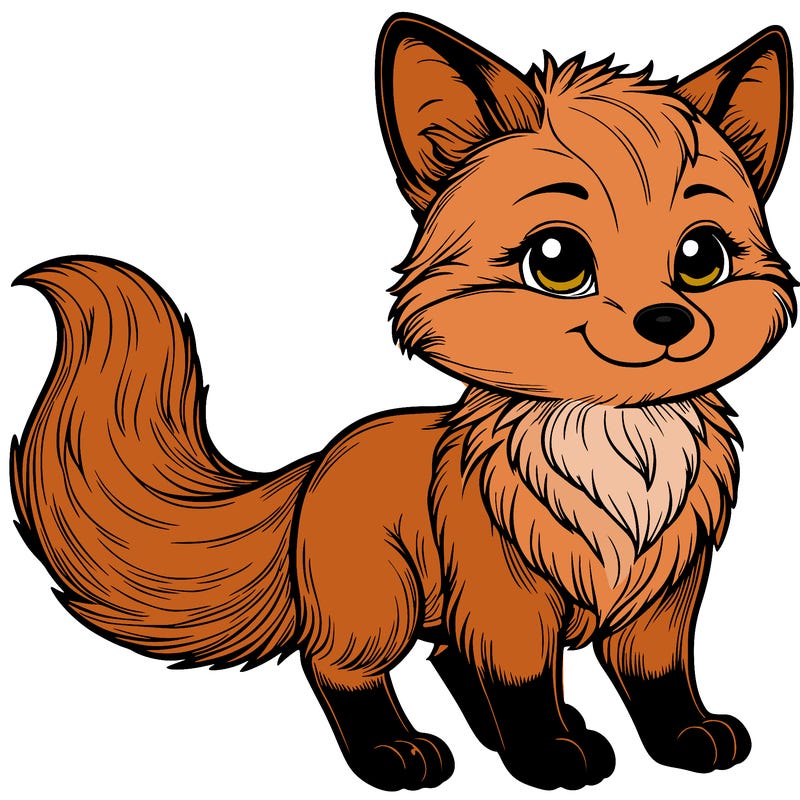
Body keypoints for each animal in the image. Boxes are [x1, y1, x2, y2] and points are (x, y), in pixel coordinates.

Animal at [10, 12, 795, 792]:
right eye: (557, 261)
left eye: (701, 258)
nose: (666, 321)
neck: (617, 442)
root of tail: (316, 466)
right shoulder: (508, 598)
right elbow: (523, 682)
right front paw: (546, 753)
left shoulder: (663, 596)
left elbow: (661, 681)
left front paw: (685, 737)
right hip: (378, 606)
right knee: (339, 669)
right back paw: (397, 752)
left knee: (446, 656)